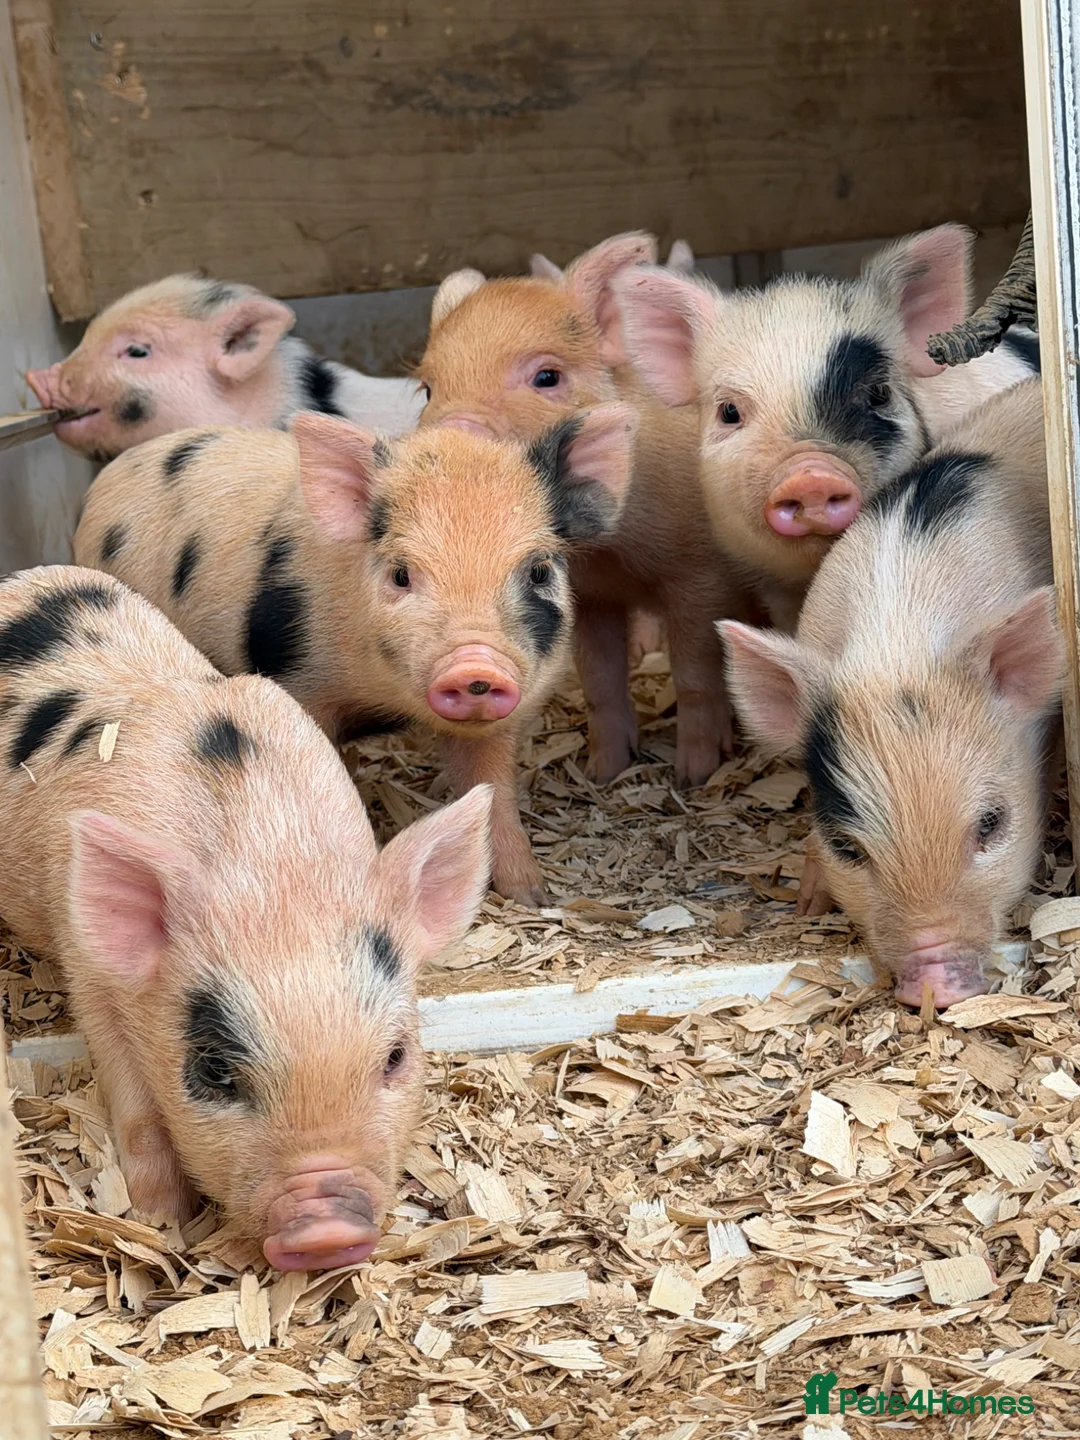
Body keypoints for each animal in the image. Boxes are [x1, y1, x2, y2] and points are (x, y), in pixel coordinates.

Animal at [0, 565, 492, 1268]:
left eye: (396, 1056)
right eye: (214, 1070)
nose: (327, 1228)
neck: (271, 866)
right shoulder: (85, 964)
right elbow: (134, 1104)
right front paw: (160, 1222)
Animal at [73, 405, 635, 905]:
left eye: (539, 570)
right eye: (401, 574)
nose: (474, 663)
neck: (383, 700)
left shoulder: (496, 723)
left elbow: (492, 789)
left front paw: (532, 896)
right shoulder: (302, 688)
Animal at [418, 232, 756, 788]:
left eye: (546, 376)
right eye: (428, 388)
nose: (451, 433)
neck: (609, 553)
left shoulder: (701, 573)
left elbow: (695, 675)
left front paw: (694, 775)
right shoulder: (591, 597)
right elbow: (599, 679)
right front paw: (603, 772)